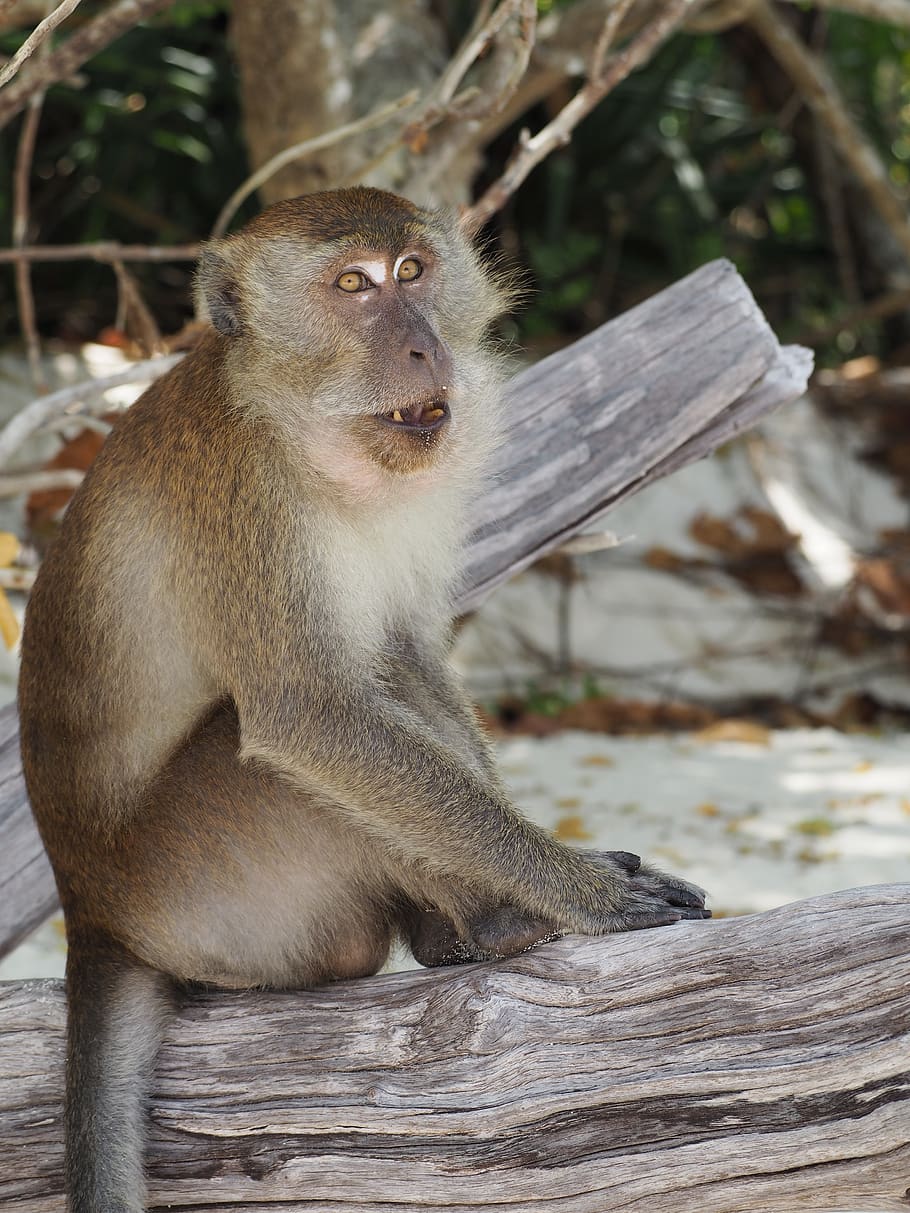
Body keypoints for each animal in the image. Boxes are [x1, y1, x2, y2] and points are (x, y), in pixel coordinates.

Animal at [18, 186, 710, 1212]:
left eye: (413, 272)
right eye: (353, 286)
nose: (423, 346)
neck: (306, 431)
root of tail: (91, 912)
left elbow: (404, 654)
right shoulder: (244, 489)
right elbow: (315, 717)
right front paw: (577, 889)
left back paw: (451, 933)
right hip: (208, 885)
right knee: (294, 752)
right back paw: (499, 924)